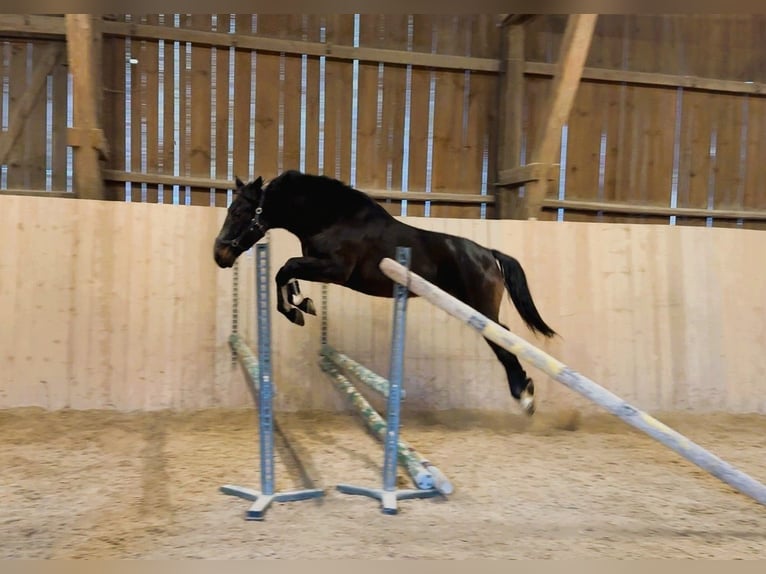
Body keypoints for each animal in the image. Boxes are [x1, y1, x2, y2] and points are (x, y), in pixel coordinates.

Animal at [213, 170, 556, 415]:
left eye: (240, 212)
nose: (220, 255)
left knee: (503, 339)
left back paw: (524, 396)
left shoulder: (334, 270)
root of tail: (487, 254)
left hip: (479, 309)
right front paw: (303, 303)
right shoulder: (319, 267)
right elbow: (286, 274)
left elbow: (284, 269)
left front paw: (297, 309)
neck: (332, 218)